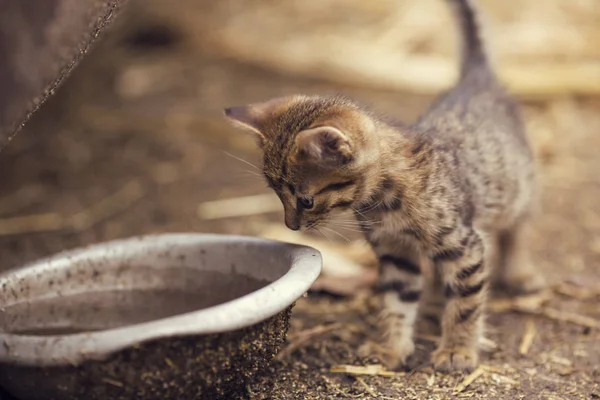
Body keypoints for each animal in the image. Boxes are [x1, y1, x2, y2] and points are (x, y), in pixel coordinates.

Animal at [223, 0, 548, 372]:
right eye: (277, 194)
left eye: (305, 201)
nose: (291, 226)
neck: (387, 199)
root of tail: (475, 79)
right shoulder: (395, 253)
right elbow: (397, 301)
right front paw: (391, 348)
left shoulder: (464, 245)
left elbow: (466, 303)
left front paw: (458, 349)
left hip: (518, 188)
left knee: (519, 226)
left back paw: (521, 273)